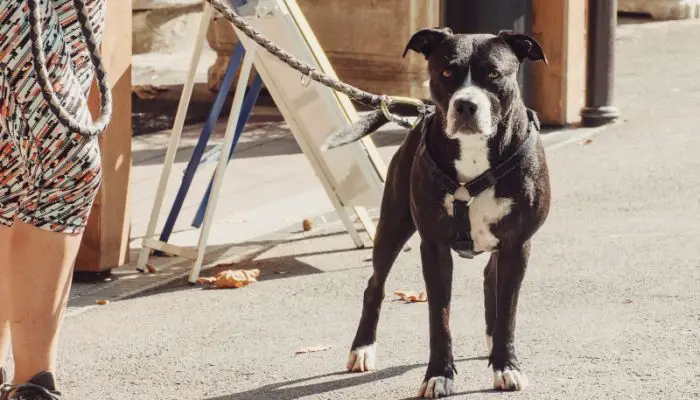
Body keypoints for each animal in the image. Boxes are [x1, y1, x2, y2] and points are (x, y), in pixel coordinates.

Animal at [324, 28, 552, 396]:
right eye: (446, 72)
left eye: (493, 74)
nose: (466, 104)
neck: (474, 156)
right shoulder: (434, 248)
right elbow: (439, 318)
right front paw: (439, 375)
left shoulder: (517, 245)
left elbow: (508, 311)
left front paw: (506, 365)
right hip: (392, 225)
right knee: (375, 284)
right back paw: (362, 348)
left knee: (491, 280)